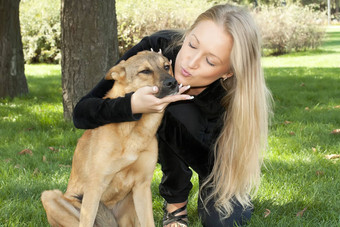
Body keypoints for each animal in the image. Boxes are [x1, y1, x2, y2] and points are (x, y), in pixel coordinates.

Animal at [41, 51, 179, 227]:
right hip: (50, 197)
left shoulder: (142, 186)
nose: (173, 82)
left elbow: (149, 222)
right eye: (145, 71)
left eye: (166, 66)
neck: (133, 130)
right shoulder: (94, 187)